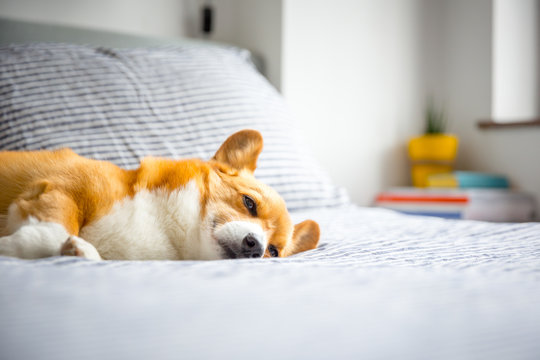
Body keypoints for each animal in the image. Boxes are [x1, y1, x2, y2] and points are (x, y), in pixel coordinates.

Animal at [0, 131, 318, 260]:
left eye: (273, 251)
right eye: (249, 203)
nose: (255, 247)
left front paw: (79, 250)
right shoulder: (63, 189)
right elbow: (50, 232)